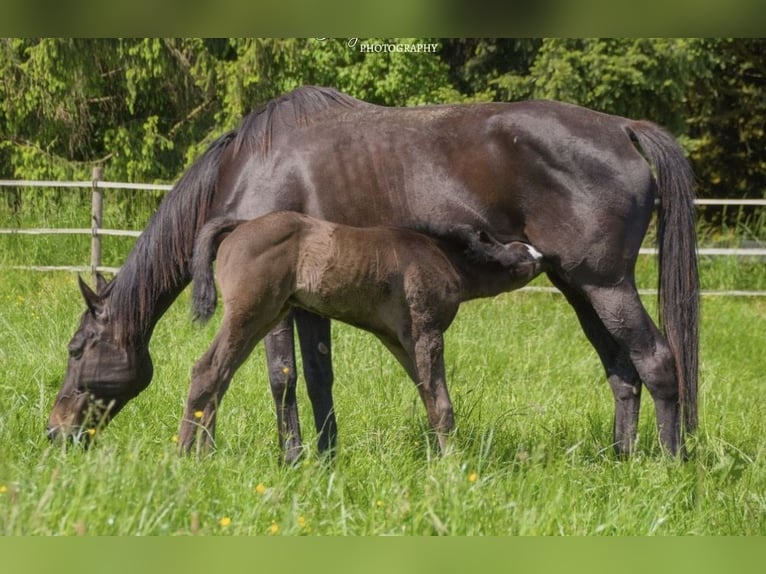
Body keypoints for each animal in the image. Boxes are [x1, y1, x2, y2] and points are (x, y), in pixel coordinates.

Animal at [180, 211, 544, 455]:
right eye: (509, 246)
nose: (540, 255)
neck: (442, 255)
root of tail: (240, 225)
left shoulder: (401, 340)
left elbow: (427, 396)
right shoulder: (427, 332)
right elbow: (442, 404)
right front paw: (453, 465)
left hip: (268, 315)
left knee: (221, 376)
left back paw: (204, 453)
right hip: (249, 313)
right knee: (207, 370)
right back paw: (185, 455)